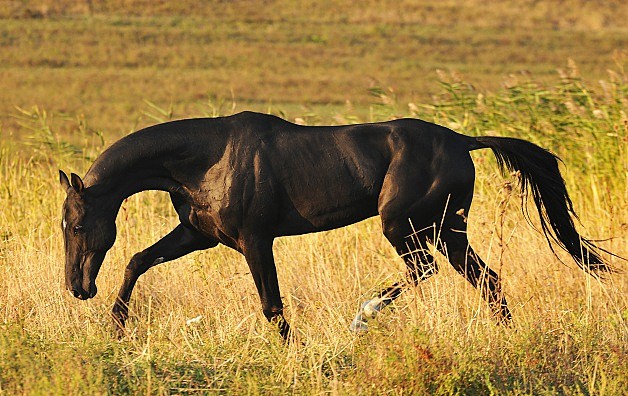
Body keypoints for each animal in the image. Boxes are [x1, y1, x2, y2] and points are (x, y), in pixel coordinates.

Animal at [59, 110, 612, 338]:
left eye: (78, 227)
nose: (77, 288)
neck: (206, 159)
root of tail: (463, 140)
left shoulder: (255, 241)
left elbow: (273, 307)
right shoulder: (200, 237)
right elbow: (136, 261)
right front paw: (117, 328)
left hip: (403, 225)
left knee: (424, 271)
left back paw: (363, 316)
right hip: (446, 229)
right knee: (488, 280)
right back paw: (507, 336)